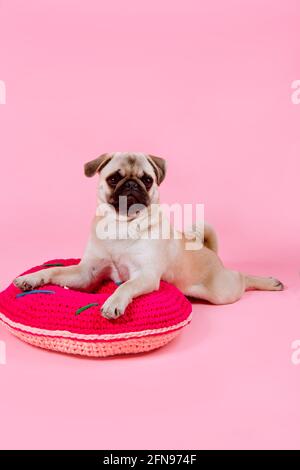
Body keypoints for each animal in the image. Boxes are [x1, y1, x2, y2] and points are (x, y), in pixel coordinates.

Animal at [14, 151, 284, 320]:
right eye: (114, 178)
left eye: (147, 180)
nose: (132, 184)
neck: (120, 224)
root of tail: (209, 251)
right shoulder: (86, 273)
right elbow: (55, 272)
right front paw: (33, 278)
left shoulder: (145, 275)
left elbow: (125, 286)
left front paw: (113, 303)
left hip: (222, 292)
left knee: (241, 277)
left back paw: (269, 282)